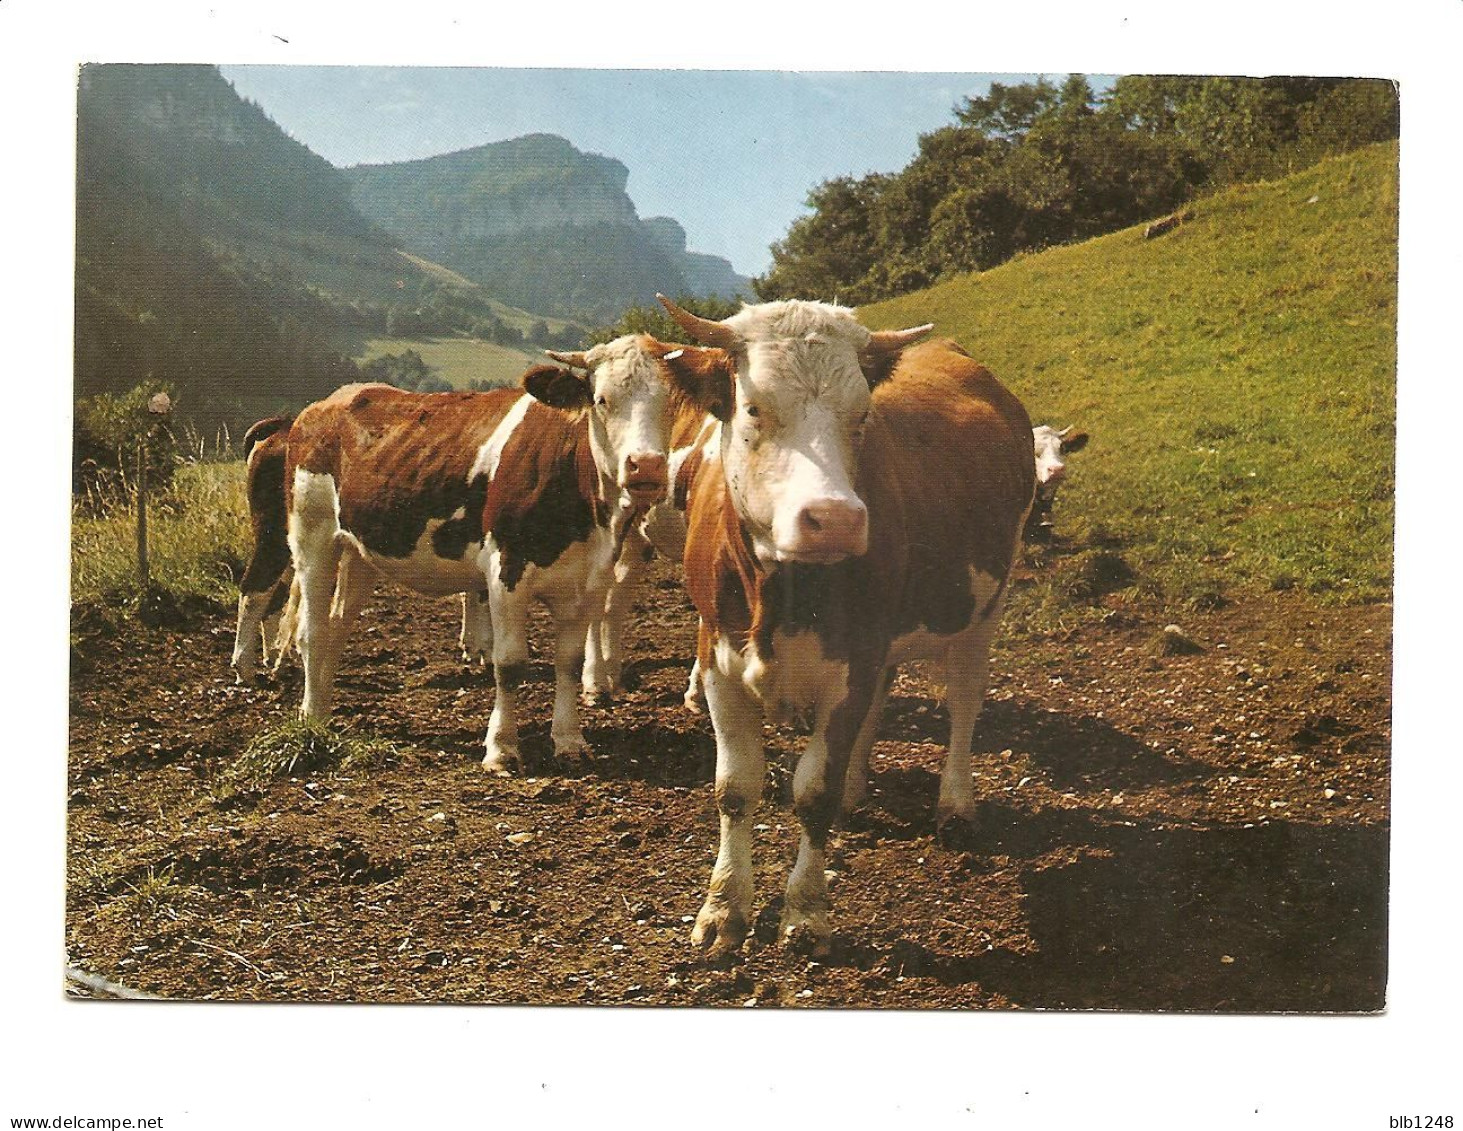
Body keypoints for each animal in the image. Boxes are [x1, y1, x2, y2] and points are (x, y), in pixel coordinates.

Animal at [658, 295, 1035, 959]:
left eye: (862, 417)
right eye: (754, 408)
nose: (833, 518)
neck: (781, 592)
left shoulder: (852, 663)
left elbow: (814, 793)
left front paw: (805, 914)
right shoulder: (717, 659)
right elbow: (734, 787)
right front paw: (723, 909)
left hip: (984, 609)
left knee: (964, 702)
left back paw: (955, 803)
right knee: (883, 698)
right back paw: (860, 791)